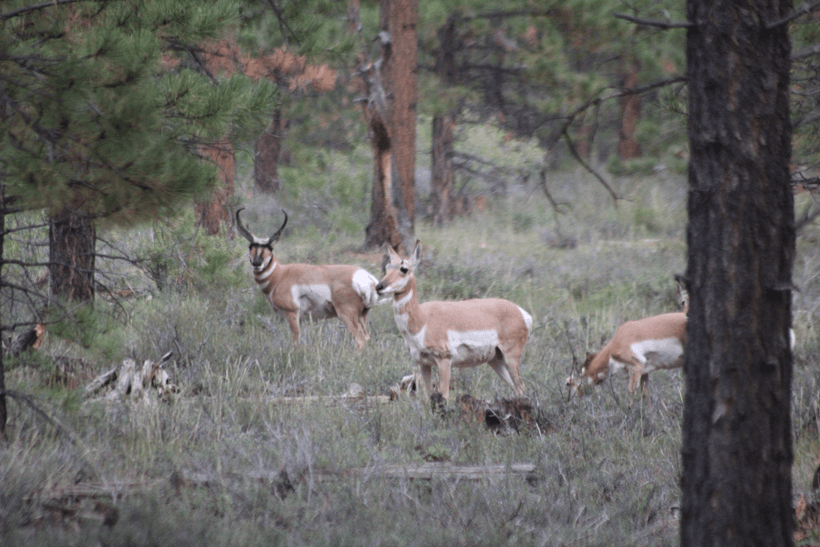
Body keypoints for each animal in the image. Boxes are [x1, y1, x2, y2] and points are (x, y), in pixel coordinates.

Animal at [236, 208, 379, 349]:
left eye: (270, 247)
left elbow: (296, 341)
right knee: (366, 338)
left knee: (360, 341)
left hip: (347, 315)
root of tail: (364, 275)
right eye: (250, 246)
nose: (257, 263)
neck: (281, 275)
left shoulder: (292, 314)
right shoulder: (301, 318)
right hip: (361, 317)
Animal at [376, 241, 533, 400]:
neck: (422, 319)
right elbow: (427, 396)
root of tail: (521, 312)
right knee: (516, 389)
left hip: (511, 357)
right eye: (387, 267)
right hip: (495, 360)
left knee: (521, 388)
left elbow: (444, 396)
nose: (379, 287)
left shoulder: (444, 361)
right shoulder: (423, 363)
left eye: (404, 269)